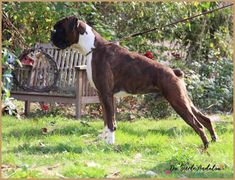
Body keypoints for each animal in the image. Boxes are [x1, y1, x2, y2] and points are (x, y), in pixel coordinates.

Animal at [50, 16, 218, 149]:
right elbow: (106, 119)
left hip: (177, 101)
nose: (51, 34)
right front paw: (103, 138)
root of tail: (174, 72)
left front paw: (110, 143)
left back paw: (205, 147)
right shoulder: (102, 95)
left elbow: (110, 121)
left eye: (59, 28)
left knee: (198, 125)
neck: (93, 47)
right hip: (184, 100)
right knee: (206, 119)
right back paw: (214, 141)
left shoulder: (106, 94)